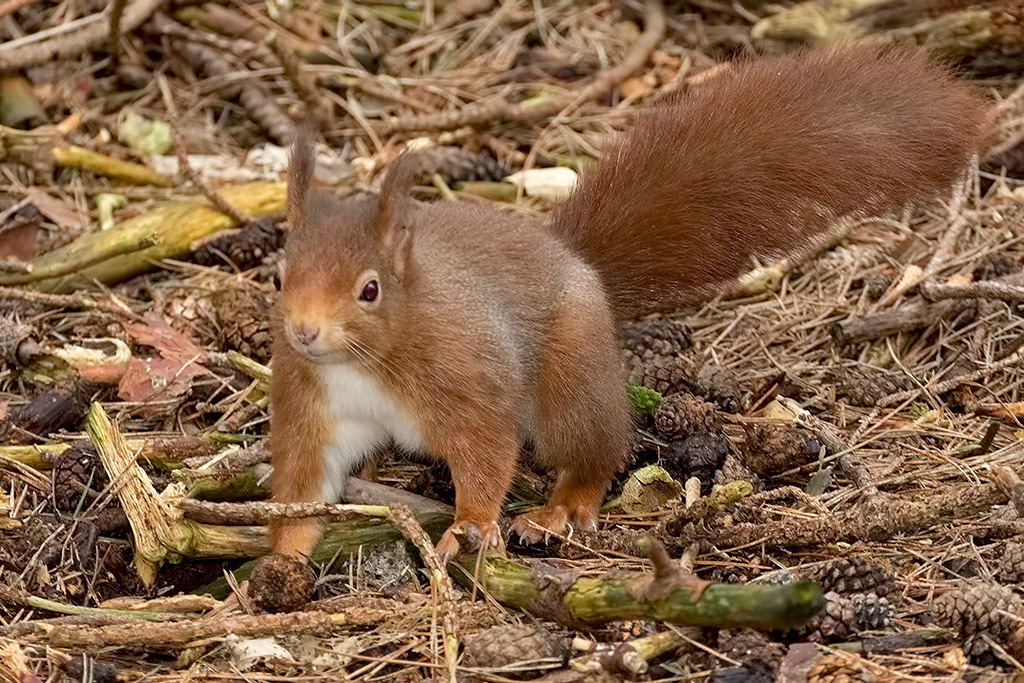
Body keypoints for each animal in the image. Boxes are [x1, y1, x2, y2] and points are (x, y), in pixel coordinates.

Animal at [269, 45, 990, 561]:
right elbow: (303, 486)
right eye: (279, 276)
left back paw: (561, 508)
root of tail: (577, 263)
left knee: (597, 449)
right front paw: (282, 557)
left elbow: (485, 452)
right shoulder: (310, 405)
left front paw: (471, 526)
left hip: (570, 379)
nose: (303, 332)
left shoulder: (467, 376)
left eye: (369, 289)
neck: (366, 361)